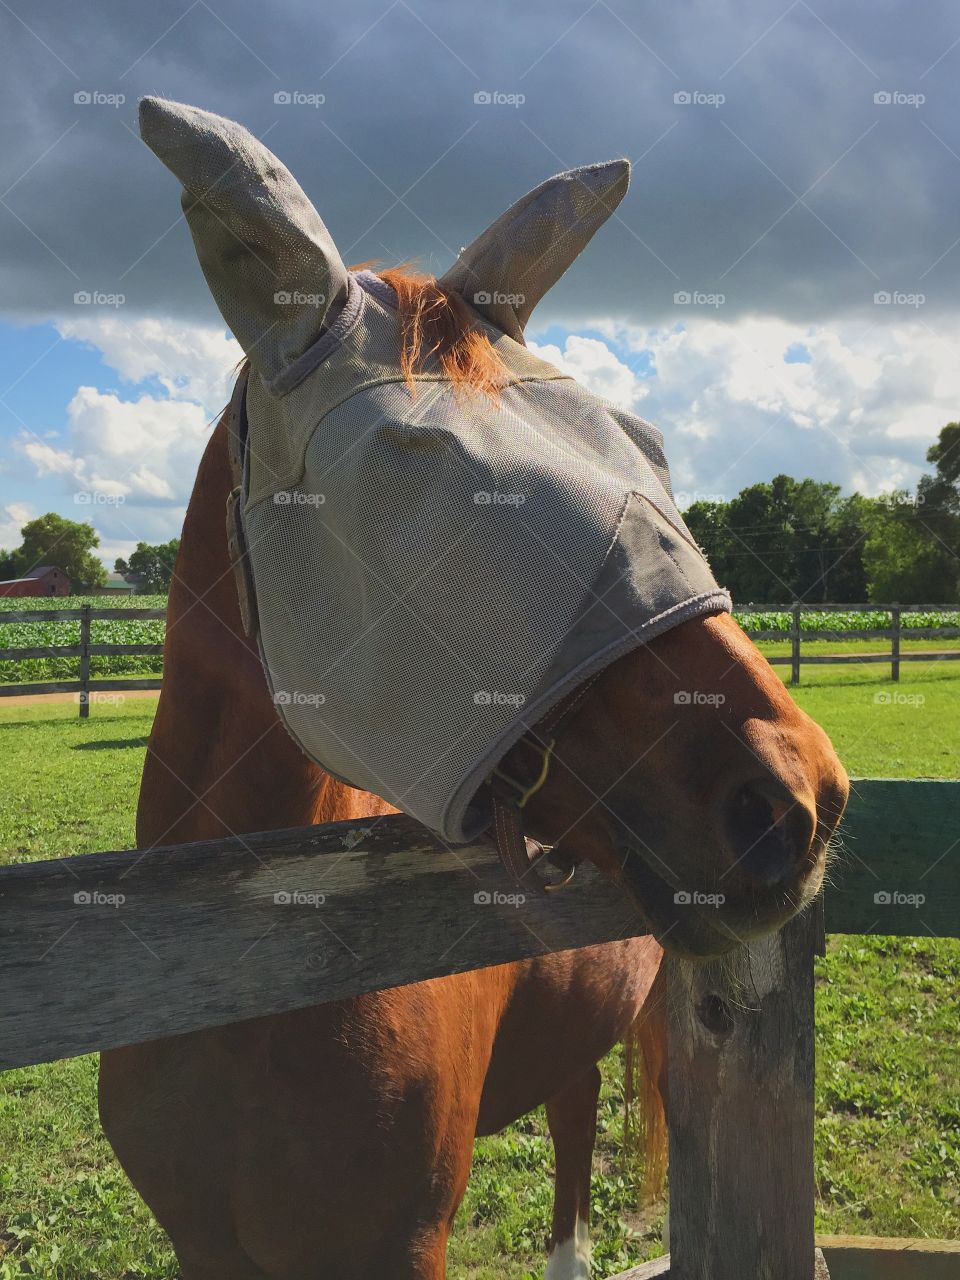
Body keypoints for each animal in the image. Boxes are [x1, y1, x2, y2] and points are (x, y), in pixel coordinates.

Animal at [99, 99, 849, 1280]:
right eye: (412, 459)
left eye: (646, 445)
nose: (798, 795)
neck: (249, 985)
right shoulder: (205, 1246)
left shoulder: (404, 1244)